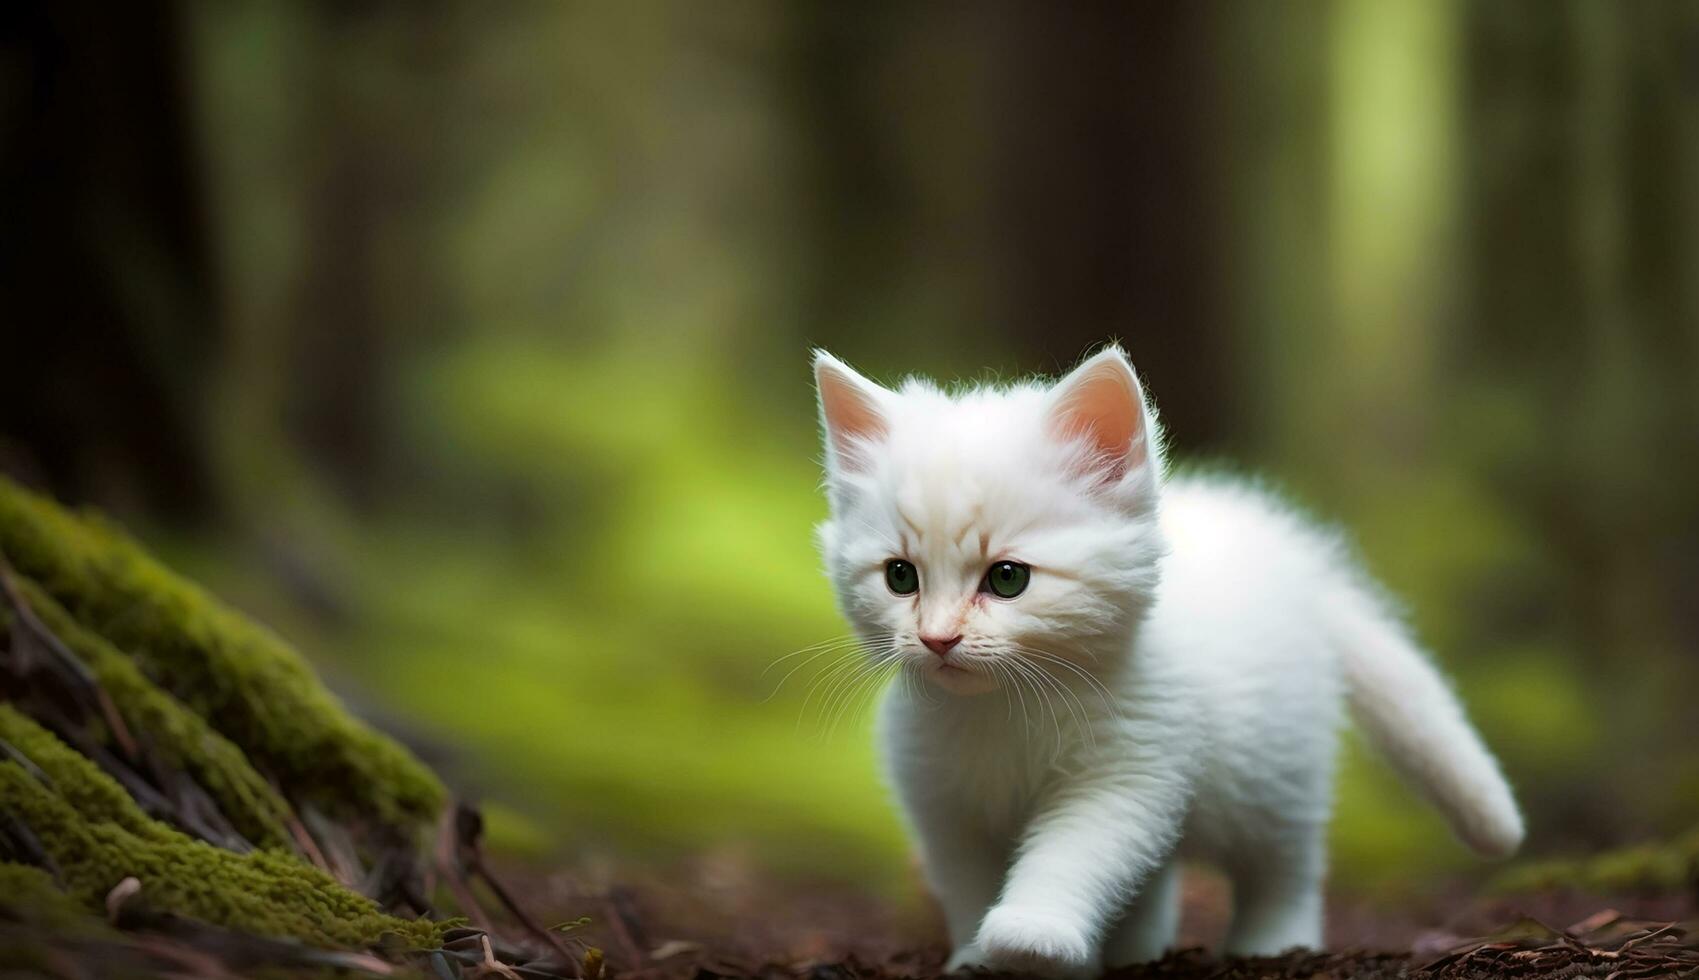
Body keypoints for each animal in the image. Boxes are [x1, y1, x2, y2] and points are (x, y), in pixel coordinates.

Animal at [808, 343, 1529, 971]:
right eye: (900, 577)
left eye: (1007, 578)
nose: (936, 639)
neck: (1003, 712)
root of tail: (1302, 560)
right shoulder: (941, 800)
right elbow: (966, 883)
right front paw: (975, 958)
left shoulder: (1130, 766)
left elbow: (1074, 853)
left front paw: (1031, 937)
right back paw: (1139, 949)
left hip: (1275, 765)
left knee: (1286, 862)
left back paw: (1273, 942)